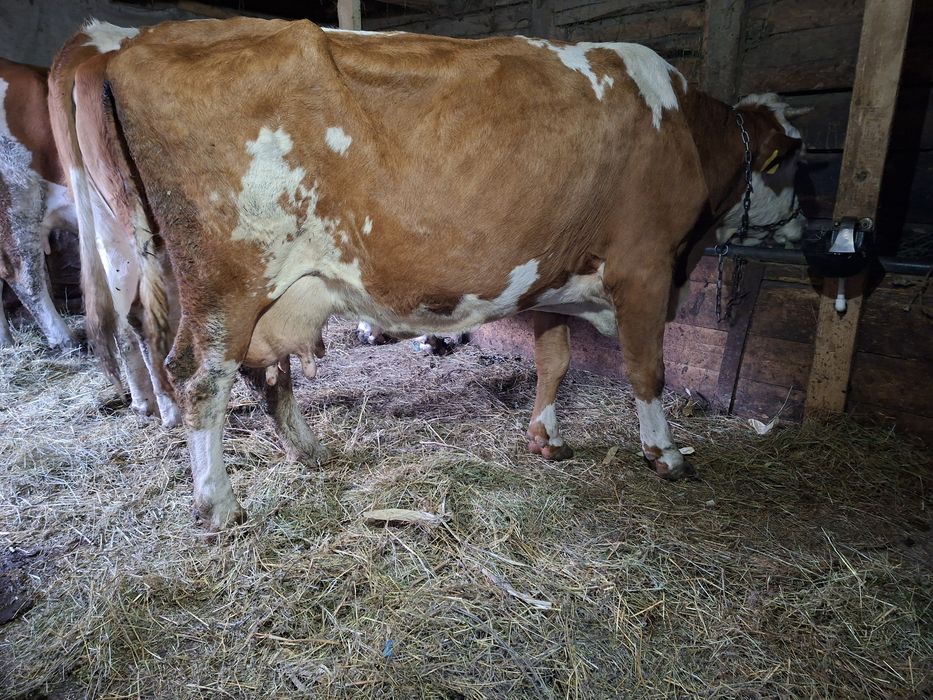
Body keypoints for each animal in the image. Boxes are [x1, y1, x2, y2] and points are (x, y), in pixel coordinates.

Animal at [53, 19, 803, 530]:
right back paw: (220, 504)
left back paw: (309, 451)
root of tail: (132, 47)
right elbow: (647, 370)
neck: (682, 127)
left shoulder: (555, 266)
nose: (801, 229)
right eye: (794, 163)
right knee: (198, 376)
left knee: (262, 370)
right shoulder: (645, 266)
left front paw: (547, 437)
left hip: (250, 287)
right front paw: (665, 453)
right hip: (226, 281)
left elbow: (555, 358)